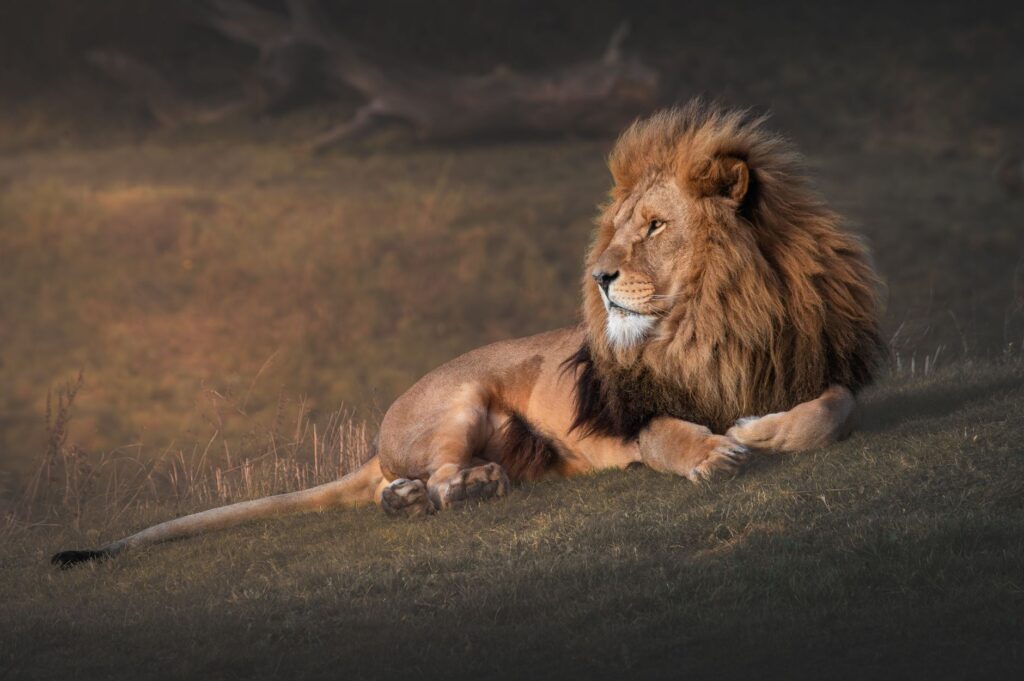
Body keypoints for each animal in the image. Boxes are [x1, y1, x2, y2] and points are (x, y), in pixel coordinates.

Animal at [52, 100, 884, 568]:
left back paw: (424, 495)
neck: (716, 318)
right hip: (458, 402)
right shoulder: (633, 410)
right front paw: (715, 452)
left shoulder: (821, 367)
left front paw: (762, 428)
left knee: (413, 484)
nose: (599, 277)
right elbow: (671, 435)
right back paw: (461, 489)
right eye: (618, 228)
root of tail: (385, 426)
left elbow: (832, 408)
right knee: (440, 480)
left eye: (654, 226)